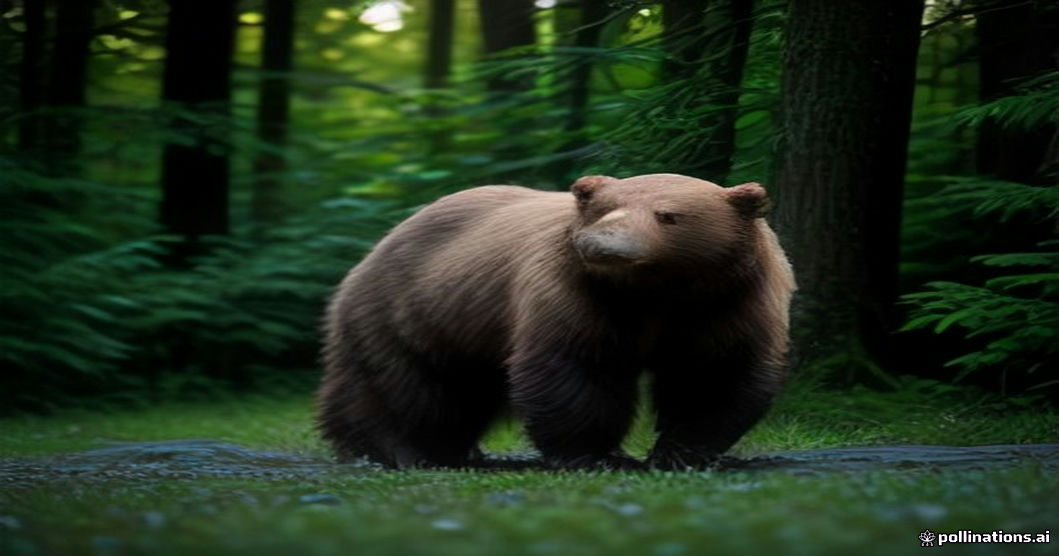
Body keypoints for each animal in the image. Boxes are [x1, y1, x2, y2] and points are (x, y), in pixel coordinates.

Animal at [317, 173, 795, 470]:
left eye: (668, 214)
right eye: (604, 209)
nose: (602, 242)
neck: (654, 293)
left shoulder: (728, 304)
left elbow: (713, 375)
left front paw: (682, 453)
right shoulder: (576, 292)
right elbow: (576, 367)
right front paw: (598, 456)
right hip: (410, 311)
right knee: (407, 388)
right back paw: (400, 450)